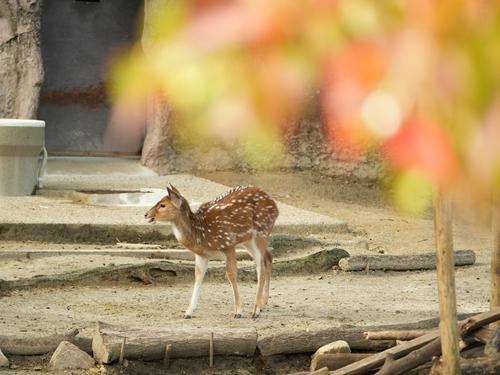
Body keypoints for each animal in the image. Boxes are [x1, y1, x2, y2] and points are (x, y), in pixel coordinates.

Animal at [144, 185, 278, 320]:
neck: (202, 234)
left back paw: (256, 310)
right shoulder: (202, 255)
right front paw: (188, 312)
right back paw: (263, 303)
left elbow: (231, 274)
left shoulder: (228, 245)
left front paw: (238, 312)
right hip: (248, 240)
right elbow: (198, 276)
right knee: (268, 257)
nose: (146, 214)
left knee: (261, 264)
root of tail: (275, 205)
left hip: (261, 232)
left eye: (163, 205)